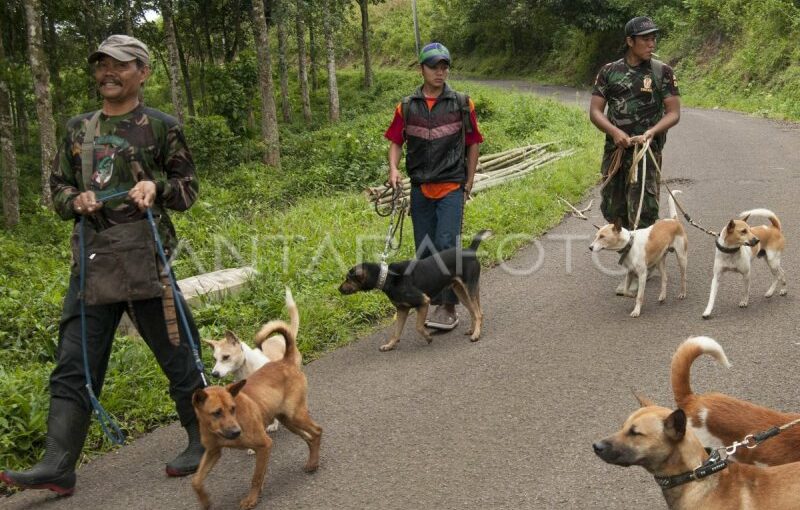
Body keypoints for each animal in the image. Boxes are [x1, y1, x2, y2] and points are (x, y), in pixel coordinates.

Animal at [191, 320, 322, 508]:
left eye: (233, 408)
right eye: (216, 413)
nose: (236, 432)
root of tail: (285, 361)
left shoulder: (265, 445)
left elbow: (256, 477)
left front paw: (251, 499)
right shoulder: (212, 452)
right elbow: (195, 481)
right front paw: (205, 501)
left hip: (295, 415)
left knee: (317, 431)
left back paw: (314, 461)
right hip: (289, 420)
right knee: (309, 437)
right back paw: (311, 461)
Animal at [340, 230, 490, 350]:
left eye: (348, 279)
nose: (338, 289)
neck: (387, 277)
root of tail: (470, 250)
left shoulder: (423, 301)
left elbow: (418, 326)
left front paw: (428, 337)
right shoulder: (402, 309)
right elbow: (396, 332)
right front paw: (390, 345)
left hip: (469, 287)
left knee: (478, 313)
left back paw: (476, 334)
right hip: (460, 291)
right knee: (474, 311)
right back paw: (472, 330)